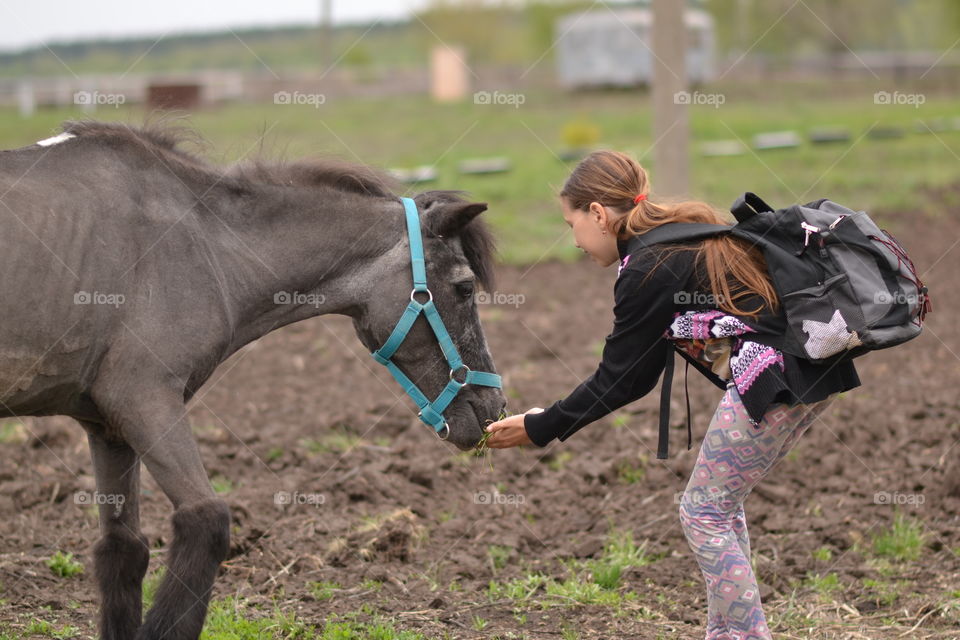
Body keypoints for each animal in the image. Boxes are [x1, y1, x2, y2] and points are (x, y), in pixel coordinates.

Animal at [0, 120, 507, 639]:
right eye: (465, 287)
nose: (493, 409)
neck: (203, 243)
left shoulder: (108, 427)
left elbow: (123, 550)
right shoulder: (144, 400)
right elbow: (206, 521)